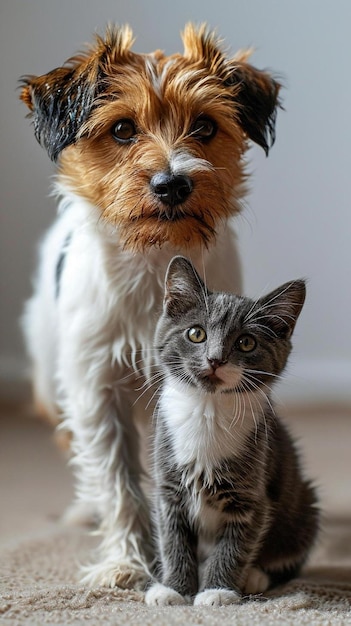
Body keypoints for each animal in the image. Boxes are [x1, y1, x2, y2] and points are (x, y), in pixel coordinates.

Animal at [20, 24, 282, 588]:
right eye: (122, 130)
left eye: (205, 126)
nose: (172, 182)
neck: (155, 255)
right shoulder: (96, 387)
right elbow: (118, 481)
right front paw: (127, 562)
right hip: (51, 375)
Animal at [145, 254, 320, 604]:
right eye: (196, 334)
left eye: (246, 342)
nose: (215, 359)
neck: (207, 410)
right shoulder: (168, 489)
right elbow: (174, 541)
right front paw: (174, 589)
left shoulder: (252, 497)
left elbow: (233, 547)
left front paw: (217, 591)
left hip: (304, 507)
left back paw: (255, 576)